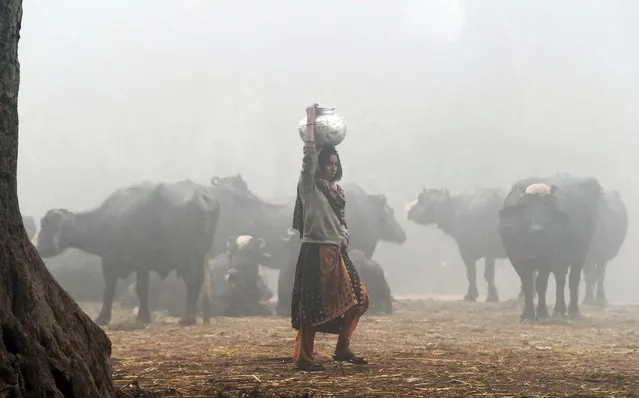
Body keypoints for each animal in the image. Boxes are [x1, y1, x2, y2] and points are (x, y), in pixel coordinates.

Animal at [38, 181, 222, 326]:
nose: (40, 248)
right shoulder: (142, 265)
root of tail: (201, 196)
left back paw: (188, 318)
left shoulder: (109, 261)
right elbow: (142, 288)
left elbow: (110, 289)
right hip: (200, 255)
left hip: (186, 256)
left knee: (192, 281)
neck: (102, 221)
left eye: (47, 225)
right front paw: (144, 316)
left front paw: (103, 318)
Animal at [498, 176, 604, 322]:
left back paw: (569, 311)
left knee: (571, 280)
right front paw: (527, 315)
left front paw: (542, 313)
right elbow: (527, 284)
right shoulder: (516, 258)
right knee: (560, 278)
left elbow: (541, 284)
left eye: (547, 204)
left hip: (580, 255)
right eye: (527, 204)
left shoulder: (548, 258)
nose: (537, 229)